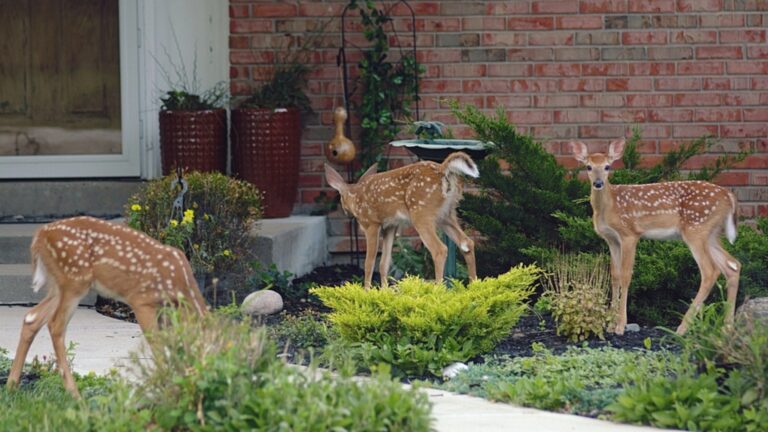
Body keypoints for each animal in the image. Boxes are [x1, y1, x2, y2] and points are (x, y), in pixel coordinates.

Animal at [5, 216, 208, 397]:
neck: (180, 284)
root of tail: (40, 235)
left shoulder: (165, 310)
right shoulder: (141, 300)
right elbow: (156, 344)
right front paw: (168, 387)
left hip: (59, 285)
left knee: (32, 317)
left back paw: (11, 385)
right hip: (74, 280)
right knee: (55, 325)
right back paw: (74, 393)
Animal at [325, 151, 479, 288]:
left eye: (340, 197)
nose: (345, 211)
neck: (355, 196)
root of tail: (443, 169)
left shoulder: (371, 223)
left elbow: (369, 263)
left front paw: (366, 292)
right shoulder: (390, 226)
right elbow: (384, 263)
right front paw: (384, 291)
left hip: (421, 213)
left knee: (440, 249)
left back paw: (438, 290)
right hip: (446, 214)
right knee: (467, 243)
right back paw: (473, 288)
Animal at [570, 138, 740, 335]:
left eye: (607, 166)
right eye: (588, 167)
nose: (598, 183)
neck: (609, 206)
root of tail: (729, 196)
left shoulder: (629, 234)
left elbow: (626, 275)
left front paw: (620, 325)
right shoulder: (611, 239)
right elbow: (614, 275)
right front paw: (610, 325)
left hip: (696, 229)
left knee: (710, 270)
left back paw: (682, 328)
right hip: (710, 234)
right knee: (732, 265)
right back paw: (727, 328)